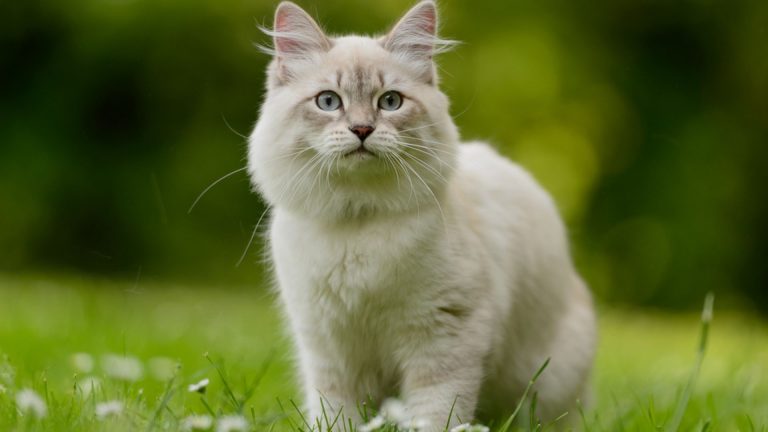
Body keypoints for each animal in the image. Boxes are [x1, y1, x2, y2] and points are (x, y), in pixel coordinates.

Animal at [246, 1, 592, 430]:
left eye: (390, 102)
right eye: (328, 102)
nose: (362, 129)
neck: (358, 222)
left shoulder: (443, 338)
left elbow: (434, 413)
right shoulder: (330, 353)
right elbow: (337, 415)